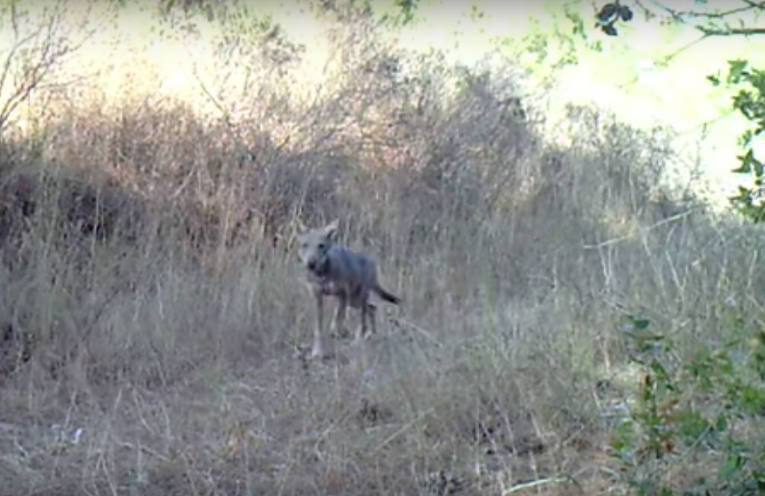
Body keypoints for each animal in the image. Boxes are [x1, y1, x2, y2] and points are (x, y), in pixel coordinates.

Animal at [296, 220, 400, 356]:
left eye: (321, 246)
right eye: (305, 245)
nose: (311, 263)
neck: (323, 274)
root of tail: (371, 262)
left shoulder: (343, 294)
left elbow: (338, 318)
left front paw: (337, 331)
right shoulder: (317, 297)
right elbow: (319, 328)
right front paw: (317, 352)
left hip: (357, 298)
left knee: (365, 318)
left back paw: (359, 340)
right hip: (354, 301)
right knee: (372, 308)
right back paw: (370, 335)